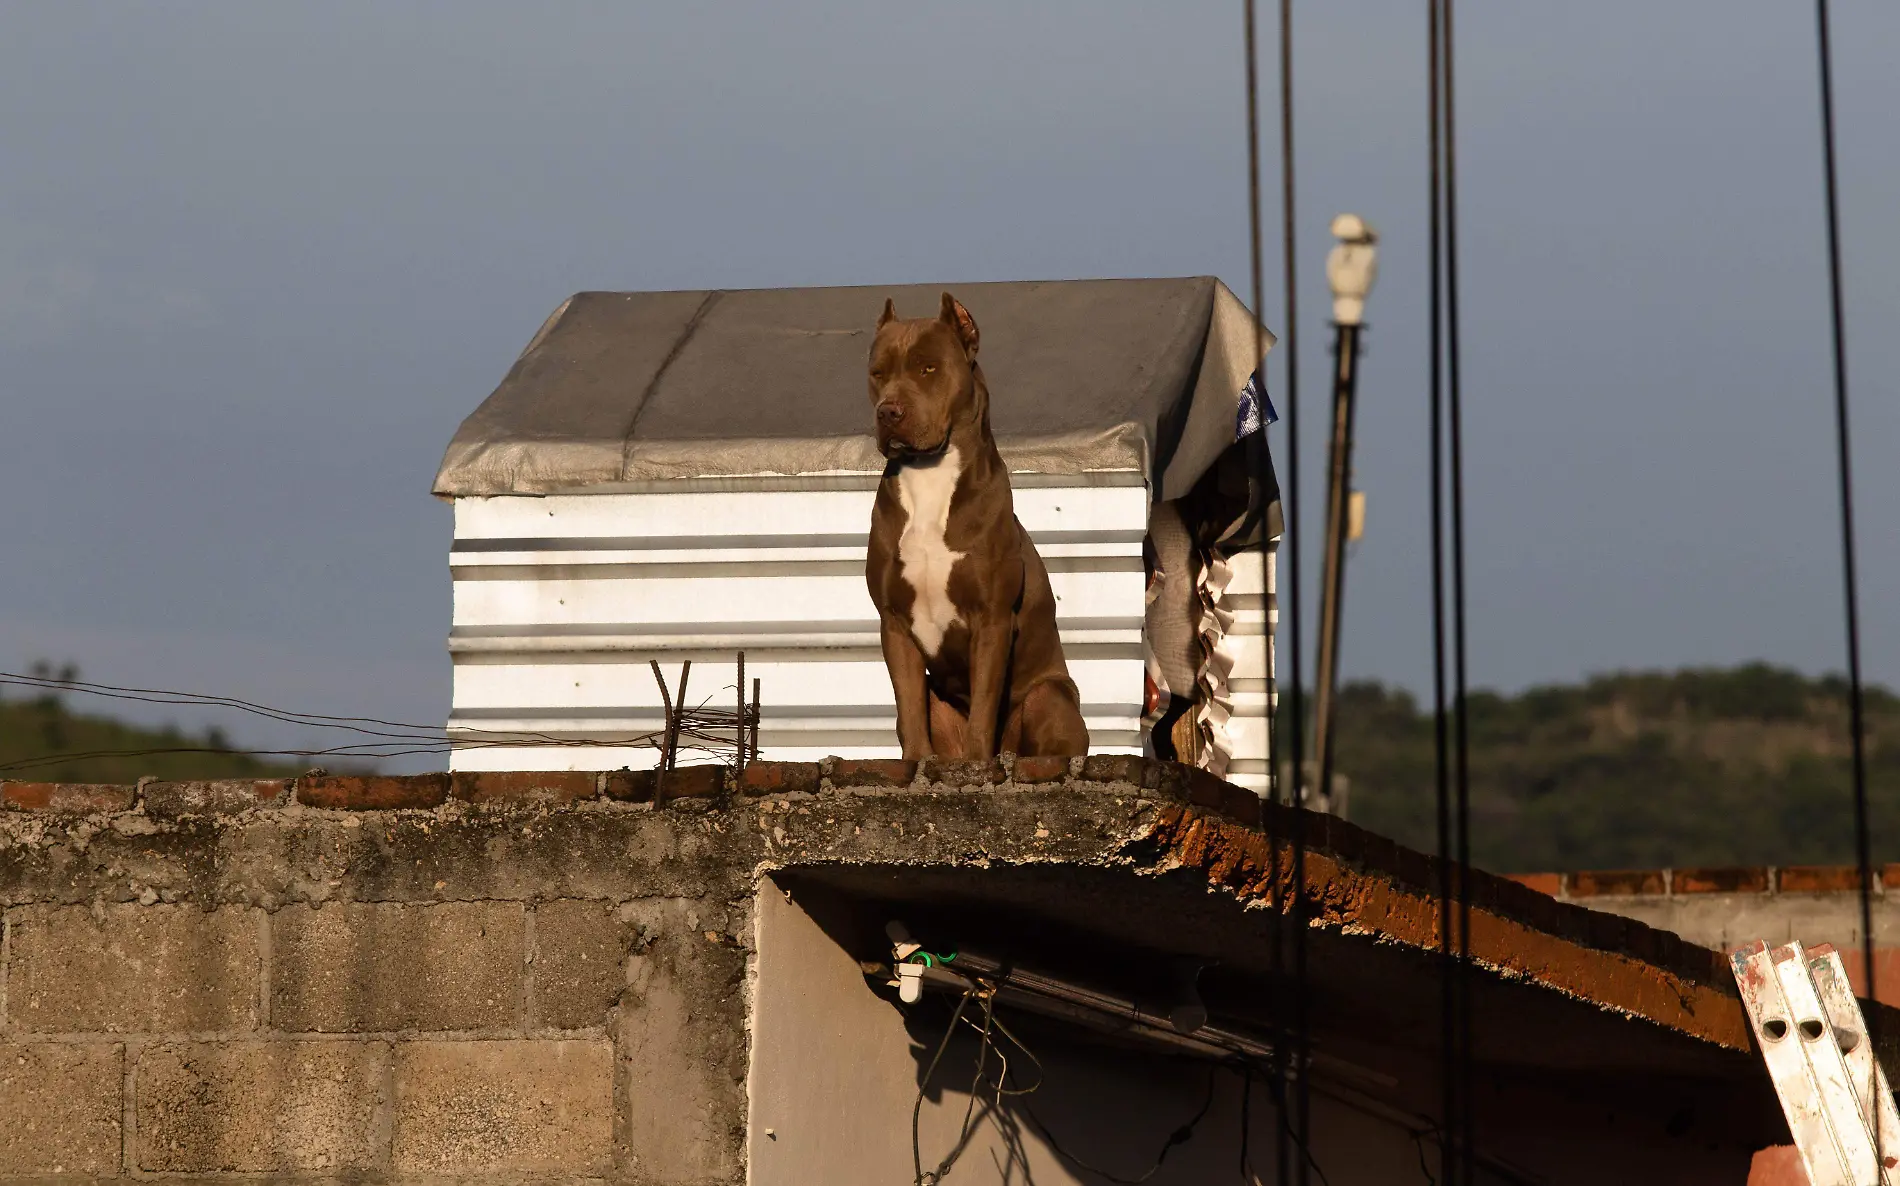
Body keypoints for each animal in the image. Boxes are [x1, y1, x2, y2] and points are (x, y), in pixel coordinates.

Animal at [862, 294, 1086, 760]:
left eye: (928, 368)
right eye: (878, 373)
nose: (887, 411)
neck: (930, 475)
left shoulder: (992, 619)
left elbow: (984, 704)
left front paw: (977, 763)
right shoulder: (893, 623)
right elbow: (910, 707)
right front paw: (916, 763)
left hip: (1049, 696)